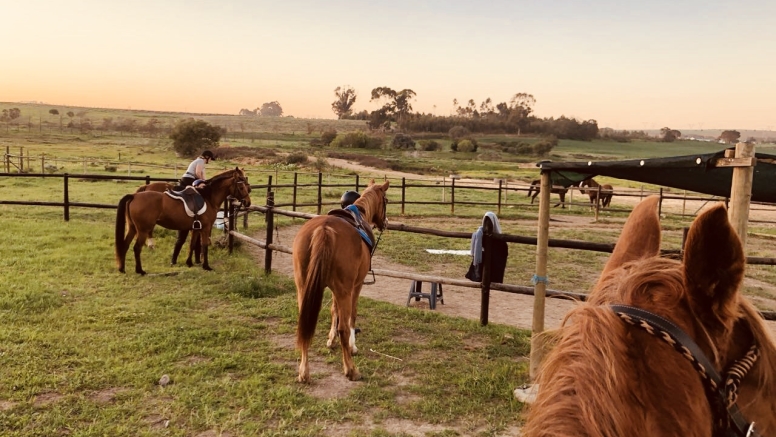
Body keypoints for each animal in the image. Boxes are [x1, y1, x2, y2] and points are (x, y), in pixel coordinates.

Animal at [115, 167, 252, 272]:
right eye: (241, 187)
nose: (248, 202)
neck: (207, 197)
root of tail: (134, 196)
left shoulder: (195, 228)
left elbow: (192, 245)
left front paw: (189, 262)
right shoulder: (205, 228)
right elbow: (204, 245)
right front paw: (206, 266)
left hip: (132, 228)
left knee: (125, 245)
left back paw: (122, 268)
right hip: (143, 230)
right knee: (137, 247)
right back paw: (140, 270)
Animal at [292, 179, 388, 380]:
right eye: (386, 200)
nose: (385, 222)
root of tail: (324, 229)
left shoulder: (335, 289)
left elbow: (333, 310)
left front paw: (331, 339)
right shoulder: (355, 286)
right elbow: (351, 314)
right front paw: (352, 346)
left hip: (303, 287)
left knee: (304, 326)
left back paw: (304, 372)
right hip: (344, 289)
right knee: (343, 327)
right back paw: (351, 370)